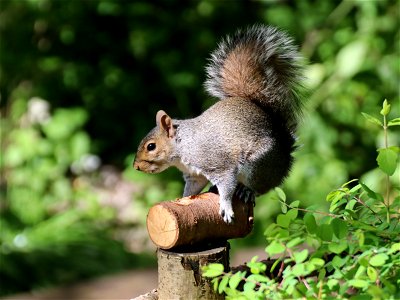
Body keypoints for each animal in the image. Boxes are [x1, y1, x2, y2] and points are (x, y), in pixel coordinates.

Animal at [133, 25, 304, 223]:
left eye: (151, 146)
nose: (136, 167)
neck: (183, 146)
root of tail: (285, 151)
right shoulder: (194, 175)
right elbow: (192, 189)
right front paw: (183, 200)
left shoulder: (218, 163)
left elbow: (227, 184)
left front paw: (226, 207)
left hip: (258, 164)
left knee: (262, 186)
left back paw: (247, 190)